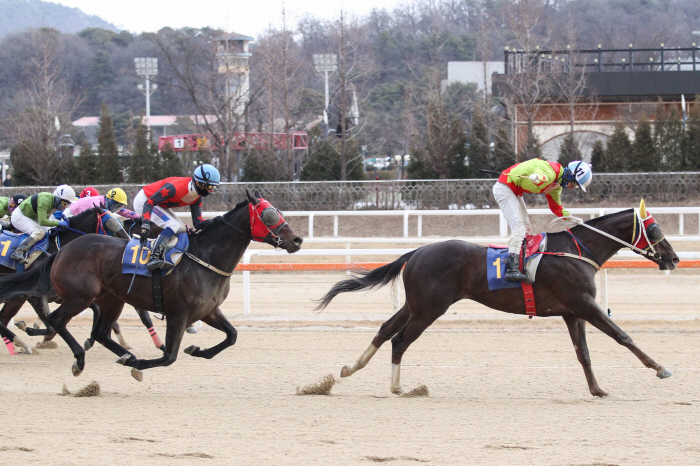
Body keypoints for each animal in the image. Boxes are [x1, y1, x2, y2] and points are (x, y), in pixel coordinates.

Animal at [0, 191, 300, 380]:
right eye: (269, 213)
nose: (296, 240)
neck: (205, 258)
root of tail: (61, 251)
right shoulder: (178, 313)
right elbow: (169, 356)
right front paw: (141, 364)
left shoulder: (207, 311)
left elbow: (232, 335)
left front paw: (197, 350)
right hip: (79, 296)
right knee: (55, 320)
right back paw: (76, 357)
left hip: (112, 299)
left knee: (100, 332)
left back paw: (123, 355)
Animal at [318, 200, 680, 396]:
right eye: (656, 229)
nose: (674, 258)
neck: (576, 251)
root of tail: (417, 251)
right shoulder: (584, 304)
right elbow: (622, 335)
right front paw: (660, 368)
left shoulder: (572, 312)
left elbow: (584, 355)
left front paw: (597, 389)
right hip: (429, 308)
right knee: (400, 340)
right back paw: (397, 387)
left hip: (416, 303)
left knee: (385, 329)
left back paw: (351, 368)